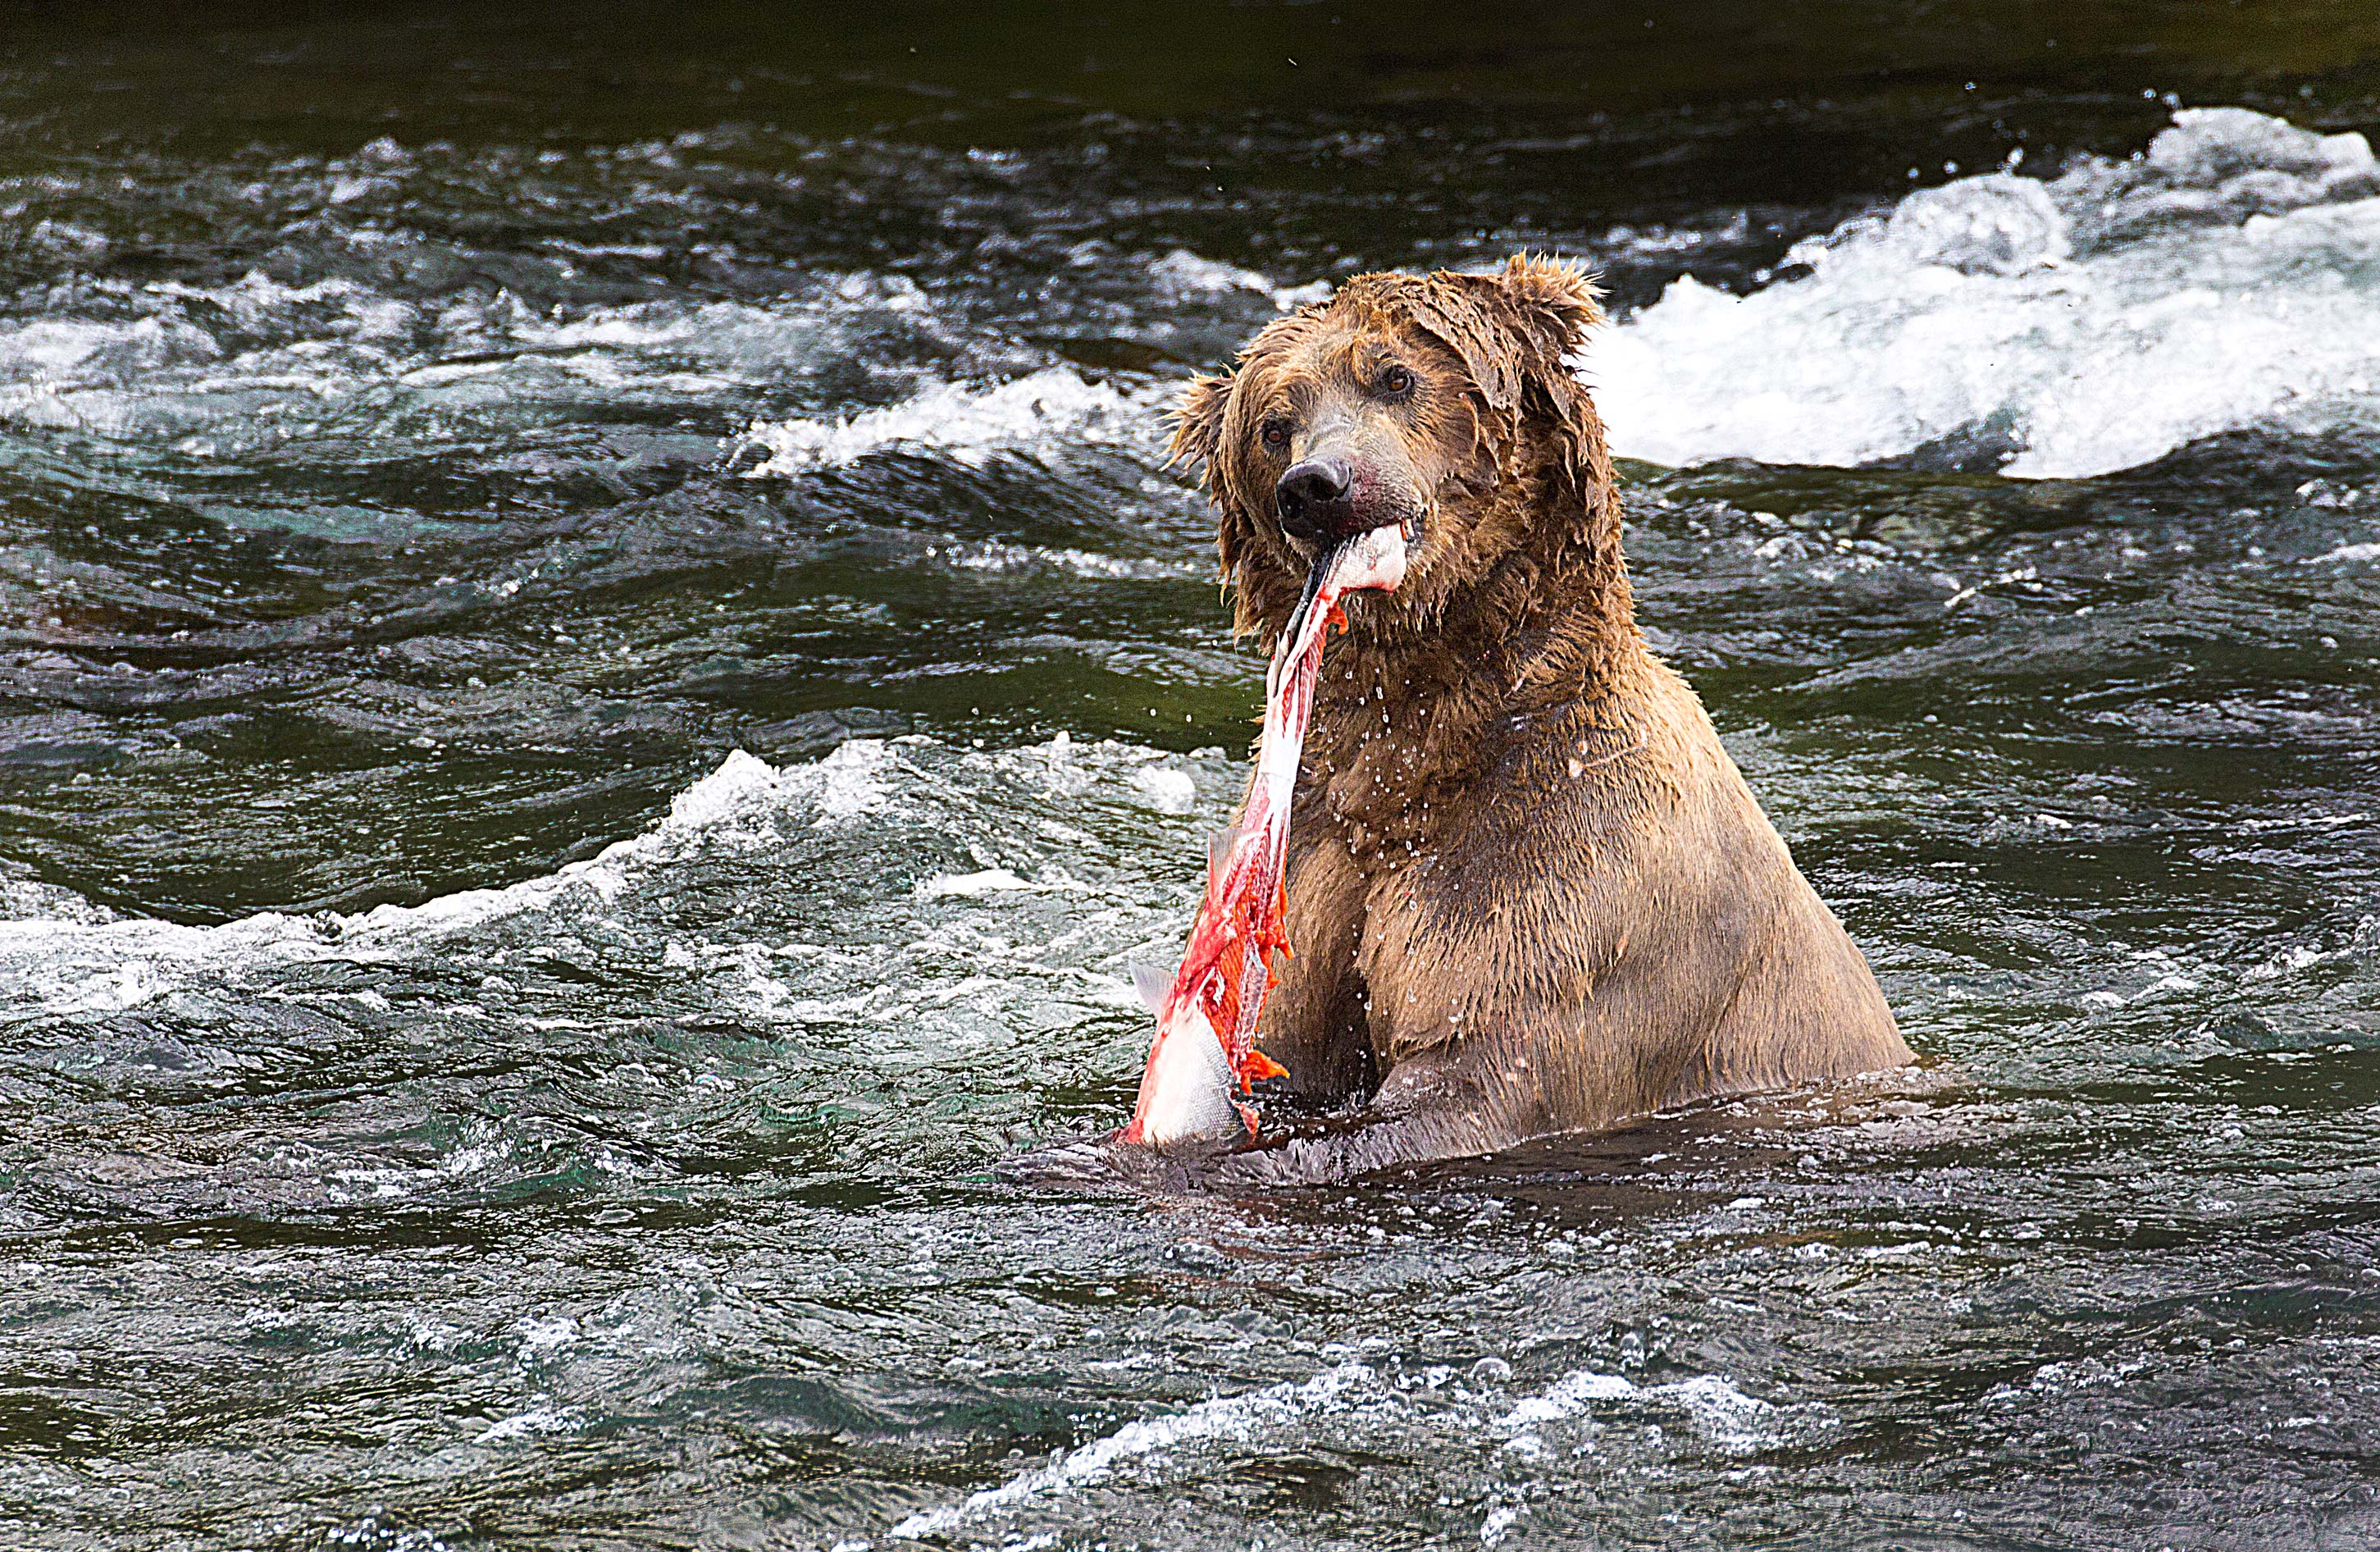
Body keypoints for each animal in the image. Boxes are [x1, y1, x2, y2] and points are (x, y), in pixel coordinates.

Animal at [1158, 253, 1911, 1186]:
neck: (1421, 754)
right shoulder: (1316, 860)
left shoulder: (1574, 877)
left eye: (1396, 376)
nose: (1317, 486)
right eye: (1274, 424)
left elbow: (1477, 1069)